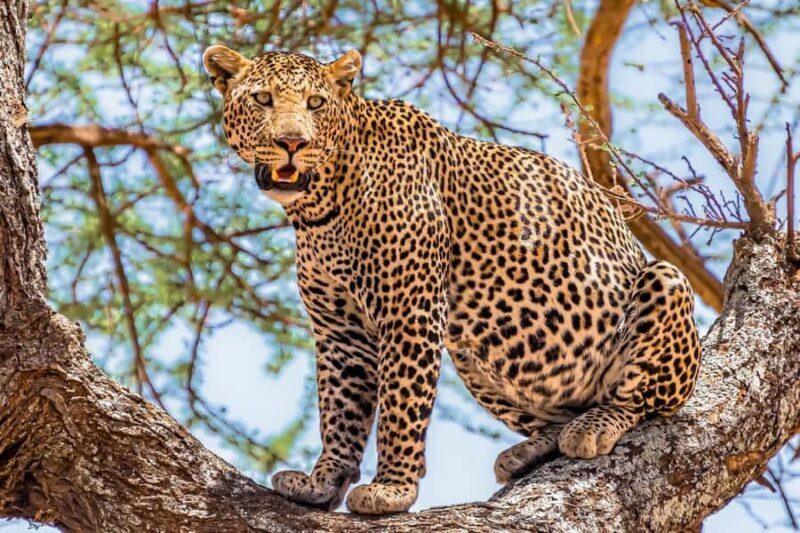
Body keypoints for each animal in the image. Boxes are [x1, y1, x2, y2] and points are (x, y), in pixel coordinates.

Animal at [203, 46, 702, 515]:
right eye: (263, 99)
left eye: (316, 103)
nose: (292, 141)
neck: (320, 206)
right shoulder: (340, 332)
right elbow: (339, 409)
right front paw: (323, 482)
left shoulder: (410, 312)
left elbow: (400, 406)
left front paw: (392, 490)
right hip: (476, 354)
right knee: (553, 417)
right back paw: (530, 451)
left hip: (665, 284)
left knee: (641, 401)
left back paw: (594, 426)